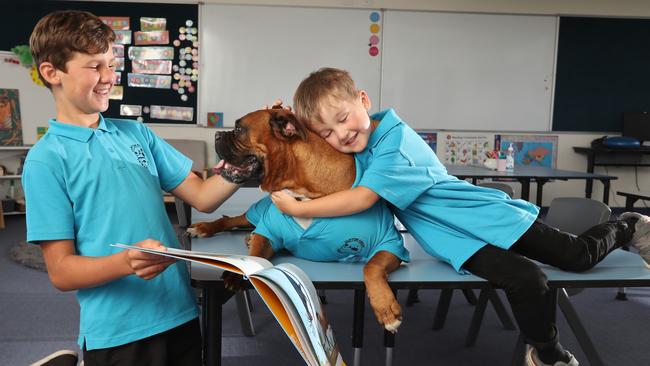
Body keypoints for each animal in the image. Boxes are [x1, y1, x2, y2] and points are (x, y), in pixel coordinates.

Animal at [187, 105, 408, 332]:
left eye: (239, 129)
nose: (217, 134)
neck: (302, 191)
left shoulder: (389, 243)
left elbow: (371, 265)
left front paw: (386, 309)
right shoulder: (267, 233)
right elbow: (254, 254)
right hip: (254, 215)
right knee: (231, 220)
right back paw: (205, 227)